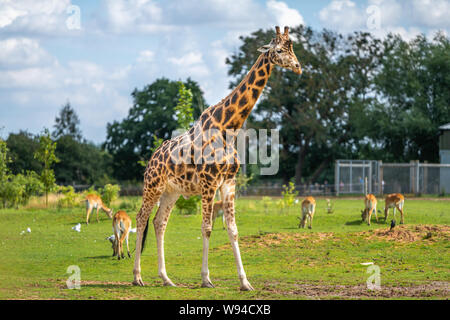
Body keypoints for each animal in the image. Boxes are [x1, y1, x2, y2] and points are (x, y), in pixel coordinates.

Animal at [133, 26, 302, 292]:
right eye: (277, 50)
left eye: (292, 48)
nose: (297, 66)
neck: (228, 127)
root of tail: (151, 159)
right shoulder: (208, 183)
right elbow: (207, 228)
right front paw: (206, 279)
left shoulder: (228, 182)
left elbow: (232, 230)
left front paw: (245, 282)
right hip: (153, 186)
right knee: (141, 219)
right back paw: (137, 277)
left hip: (172, 191)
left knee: (160, 223)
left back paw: (166, 278)